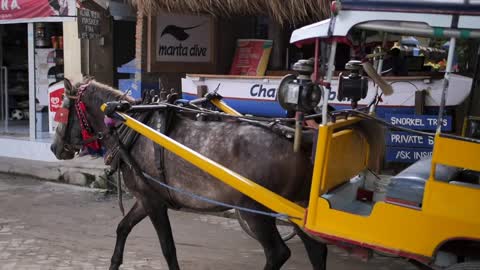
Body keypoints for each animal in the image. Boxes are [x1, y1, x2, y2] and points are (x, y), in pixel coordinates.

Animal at [51, 78, 330, 270]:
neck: (129, 127)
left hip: (256, 211)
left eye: (62, 111)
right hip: (297, 207)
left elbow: (168, 248)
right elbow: (122, 228)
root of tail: (300, 140)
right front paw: (113, 263)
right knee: (316, 249)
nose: (54, 148)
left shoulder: (153, 202)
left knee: (278, 253)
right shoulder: (147, 197)